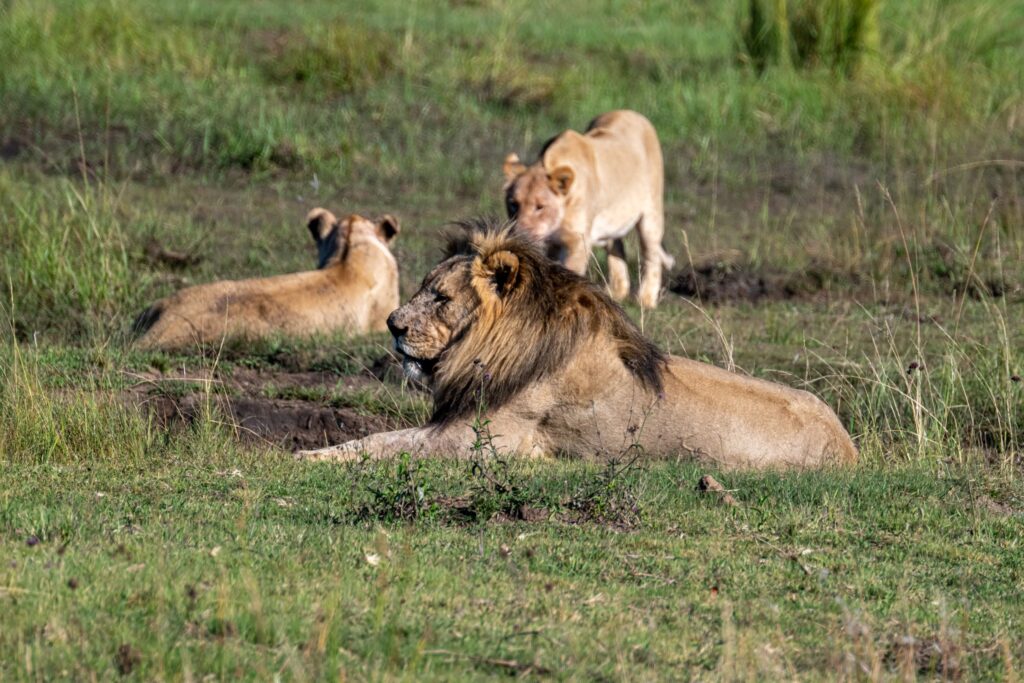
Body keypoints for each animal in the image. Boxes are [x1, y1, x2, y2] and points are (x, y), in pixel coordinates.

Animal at [299, 222, 856, 466]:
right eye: (422, 289)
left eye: (440, 298)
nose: (392, 324)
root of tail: (849, 448)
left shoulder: (482, 439)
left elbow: (381, 443)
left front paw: (306, 458)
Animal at [501, 111, 675, 309]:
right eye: (513, 204)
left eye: (540, 207)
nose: (520, 234)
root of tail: (633, 113)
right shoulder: (553, 245)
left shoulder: (578, 242)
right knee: (616, 247)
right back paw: (615, 292)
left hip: (651, 214)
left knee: (651, 255)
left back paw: (646, 299)